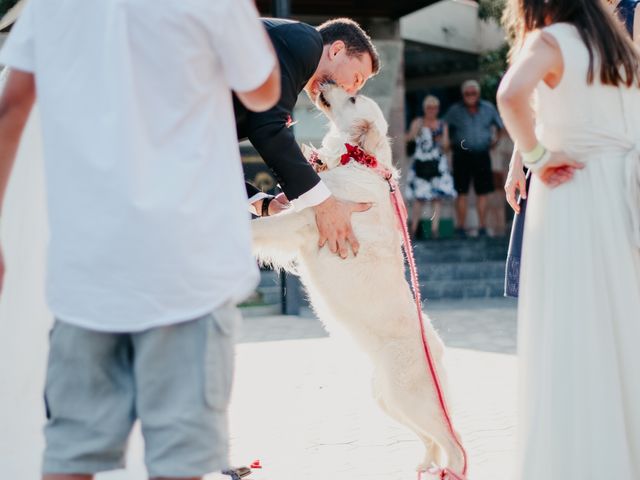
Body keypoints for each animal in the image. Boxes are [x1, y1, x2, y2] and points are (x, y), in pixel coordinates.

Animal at [250, 84, 464, 474]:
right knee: (432, 441)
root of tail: (438, 351)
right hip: (386, 399)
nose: (324, 84)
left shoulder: (304, 222)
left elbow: (264, 228)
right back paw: (423, 467)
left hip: (410, 399)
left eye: (351, 98)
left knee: (453, 444)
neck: (358, 160)